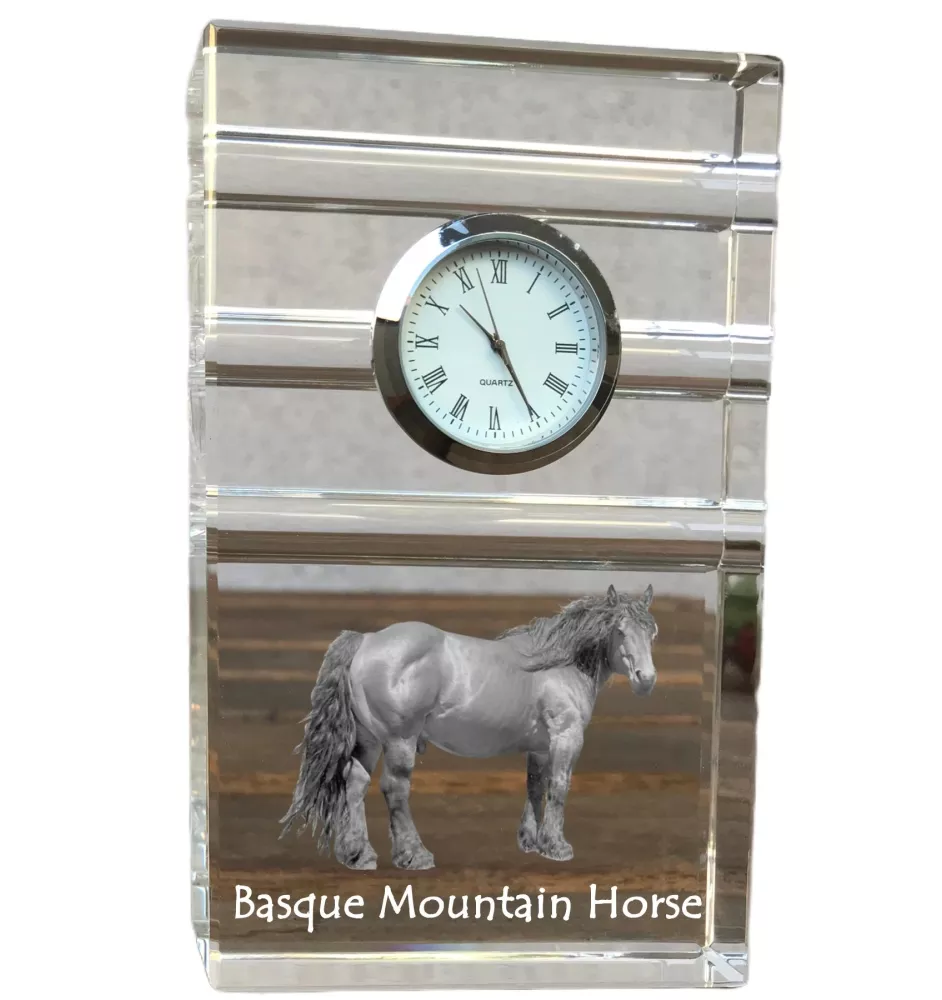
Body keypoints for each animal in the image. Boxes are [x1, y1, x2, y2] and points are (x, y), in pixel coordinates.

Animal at [281, 584, 658, 870]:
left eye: (651, 632)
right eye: (619, 630)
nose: (647, 679)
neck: (557, 664)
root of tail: (367, 640)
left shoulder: (539, 748)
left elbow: (535, 787)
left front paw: (532, 842)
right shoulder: (566, 737)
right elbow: (559, 788)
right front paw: (557, 846)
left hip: (369, 741)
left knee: (355, 785)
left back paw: (358, 855)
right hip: (400, 740)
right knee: (394, 788)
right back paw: (414, 855)